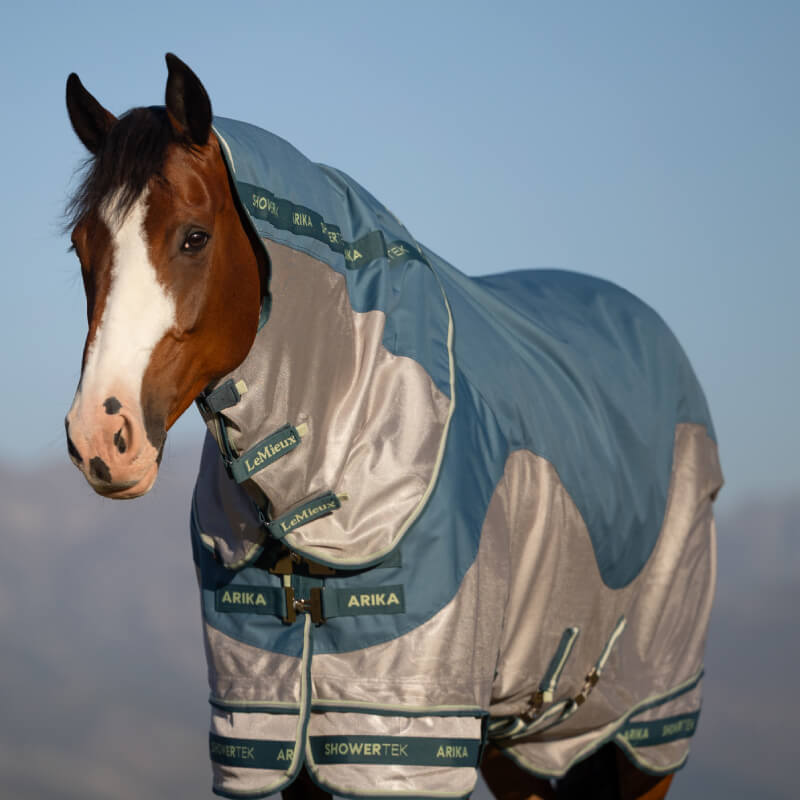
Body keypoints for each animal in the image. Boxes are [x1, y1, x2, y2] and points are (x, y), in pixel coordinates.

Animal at [64, 54, 722, 800]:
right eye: (81, 246)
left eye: (194, 236)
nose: (100, 439)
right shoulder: (270, 727)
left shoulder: (405, 735)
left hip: (648, 722)